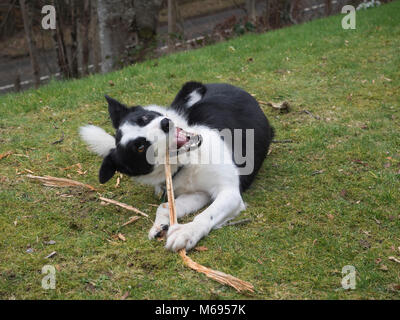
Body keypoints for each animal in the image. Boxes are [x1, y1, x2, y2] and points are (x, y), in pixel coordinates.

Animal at [81, 81, 276, 251]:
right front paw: (160, 225)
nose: (165, 123)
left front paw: (187, 232)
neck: (189, 162)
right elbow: (165, 206)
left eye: (144, 118)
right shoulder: (199, 193)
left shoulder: (230, 193)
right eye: (140, 147)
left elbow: (205, 215)